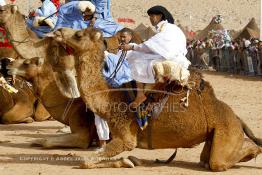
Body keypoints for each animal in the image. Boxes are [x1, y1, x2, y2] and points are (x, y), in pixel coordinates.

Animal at [52, 27, 260, 171]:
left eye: (78, 34)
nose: (58, 31)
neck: (111, 98)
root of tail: (236, 118)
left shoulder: (126, 136)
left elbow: (86, 161)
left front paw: (126, 161)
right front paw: (130, 161)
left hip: (225, 129)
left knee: (218, 162)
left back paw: (254, 153)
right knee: (206, 160)